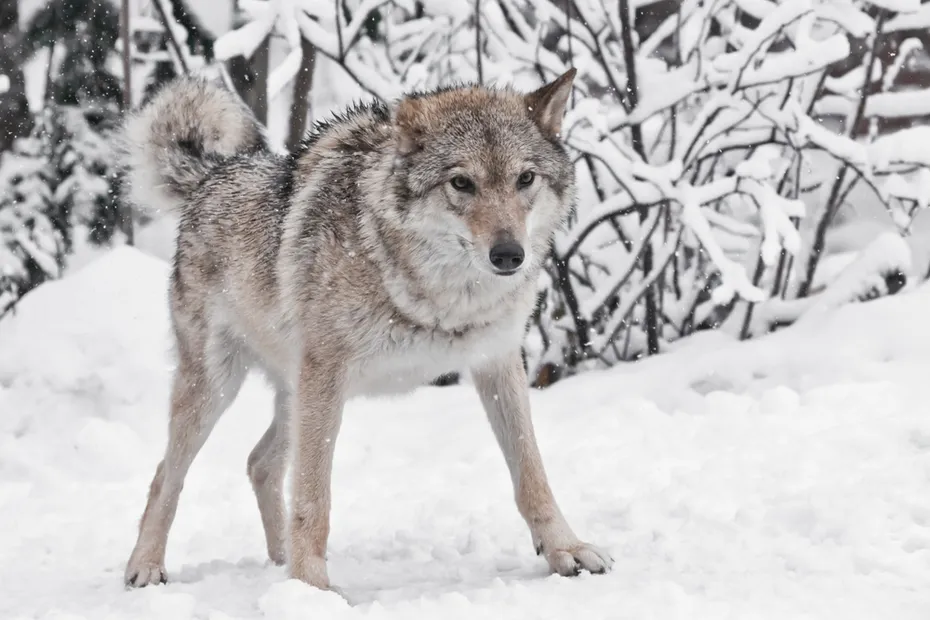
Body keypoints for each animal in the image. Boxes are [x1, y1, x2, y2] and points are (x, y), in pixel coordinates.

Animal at [120, 68, 612, 591]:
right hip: (218, 390)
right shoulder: (326, 376)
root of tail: (214, 173)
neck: (442, 297)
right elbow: (315, 498)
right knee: (166, 476)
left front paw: (567, 551)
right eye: (461, 183)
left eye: (525, 179)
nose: (509, 255)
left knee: (261, 464)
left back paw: (279, 563)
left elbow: (532, 476)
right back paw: (146, 566)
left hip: (293, 396)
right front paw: (313, 590)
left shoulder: (498, 364)